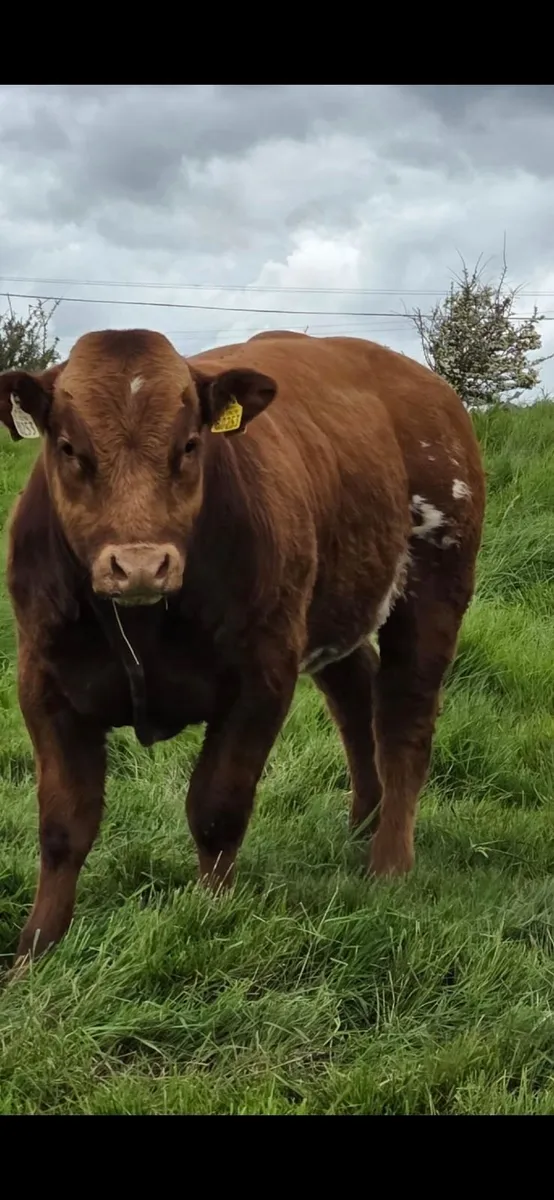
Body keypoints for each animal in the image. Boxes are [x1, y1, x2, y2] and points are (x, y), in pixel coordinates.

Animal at [0, 329, 485, 962]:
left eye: (189, 444)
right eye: (67, 447)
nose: (139, 565)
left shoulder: (262, 677)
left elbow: (216, 808)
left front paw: (210, 919)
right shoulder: (43, 682)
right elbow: (63, 827)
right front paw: (35, 952)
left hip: (433, 589)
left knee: (405, 721)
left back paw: (389, 862)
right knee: (357, 696)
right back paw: (363, 821)